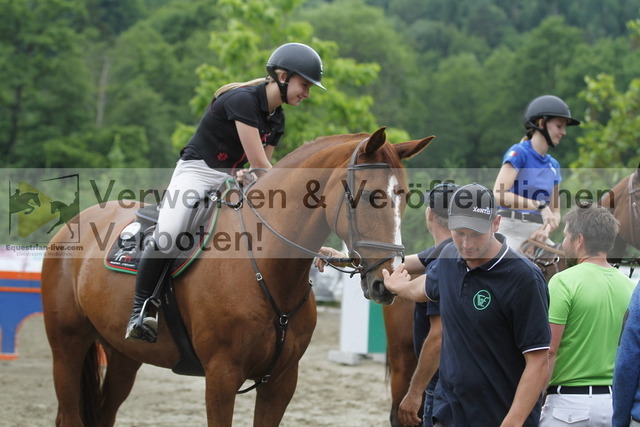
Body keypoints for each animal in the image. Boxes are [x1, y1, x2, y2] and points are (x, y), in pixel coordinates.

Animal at [41, 127, 434, 427]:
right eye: (370, 196)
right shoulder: (221, 376)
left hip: (122, 355)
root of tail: (73, 224)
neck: (264, 266)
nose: (387, 280)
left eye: (403, 196)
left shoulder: (280, 381)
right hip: (67, 348)